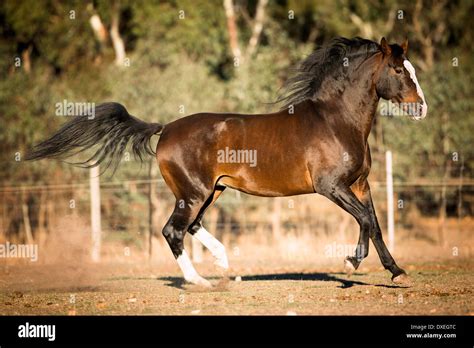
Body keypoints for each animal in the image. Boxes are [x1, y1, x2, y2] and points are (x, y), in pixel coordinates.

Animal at [25, 37, 426, 288]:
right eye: (399, 70)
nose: (421, 108)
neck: (336, 120)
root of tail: (166, 128)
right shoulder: (331, 187)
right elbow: (365, 221)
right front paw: (350, 263)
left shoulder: (359, 183)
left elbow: (374, 223)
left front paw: (397, 272)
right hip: (194, 192)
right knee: (173, 231)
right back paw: (200, 281)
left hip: (211, 191)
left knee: (191, 227)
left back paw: (222, 264)